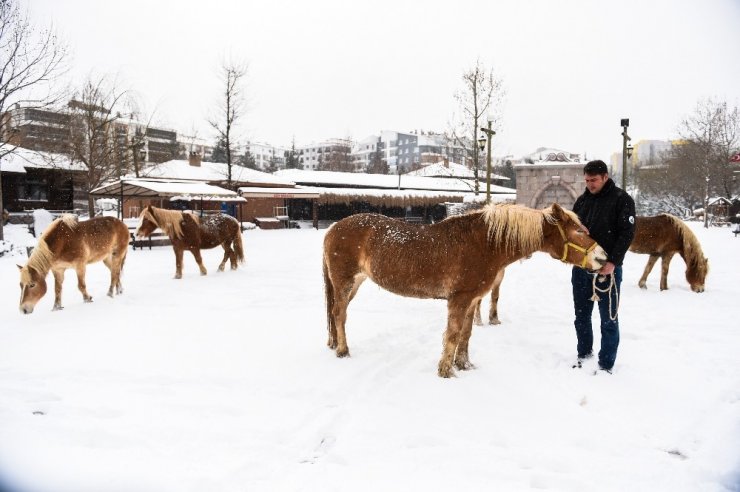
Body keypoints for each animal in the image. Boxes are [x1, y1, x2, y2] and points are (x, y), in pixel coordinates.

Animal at [324, 202, 608, 378]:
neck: (484, 243)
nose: (603, 258)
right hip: (344, 282)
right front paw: (446, 371)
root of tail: (332, 229)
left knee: (337, 313)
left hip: (355, 283)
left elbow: (466, 334)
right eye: (577, 231)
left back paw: (336, 344)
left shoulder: (472, 300)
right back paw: (343, 351)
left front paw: (464, 365)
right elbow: (452, 334)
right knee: (339, 314)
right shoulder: (458, 299)